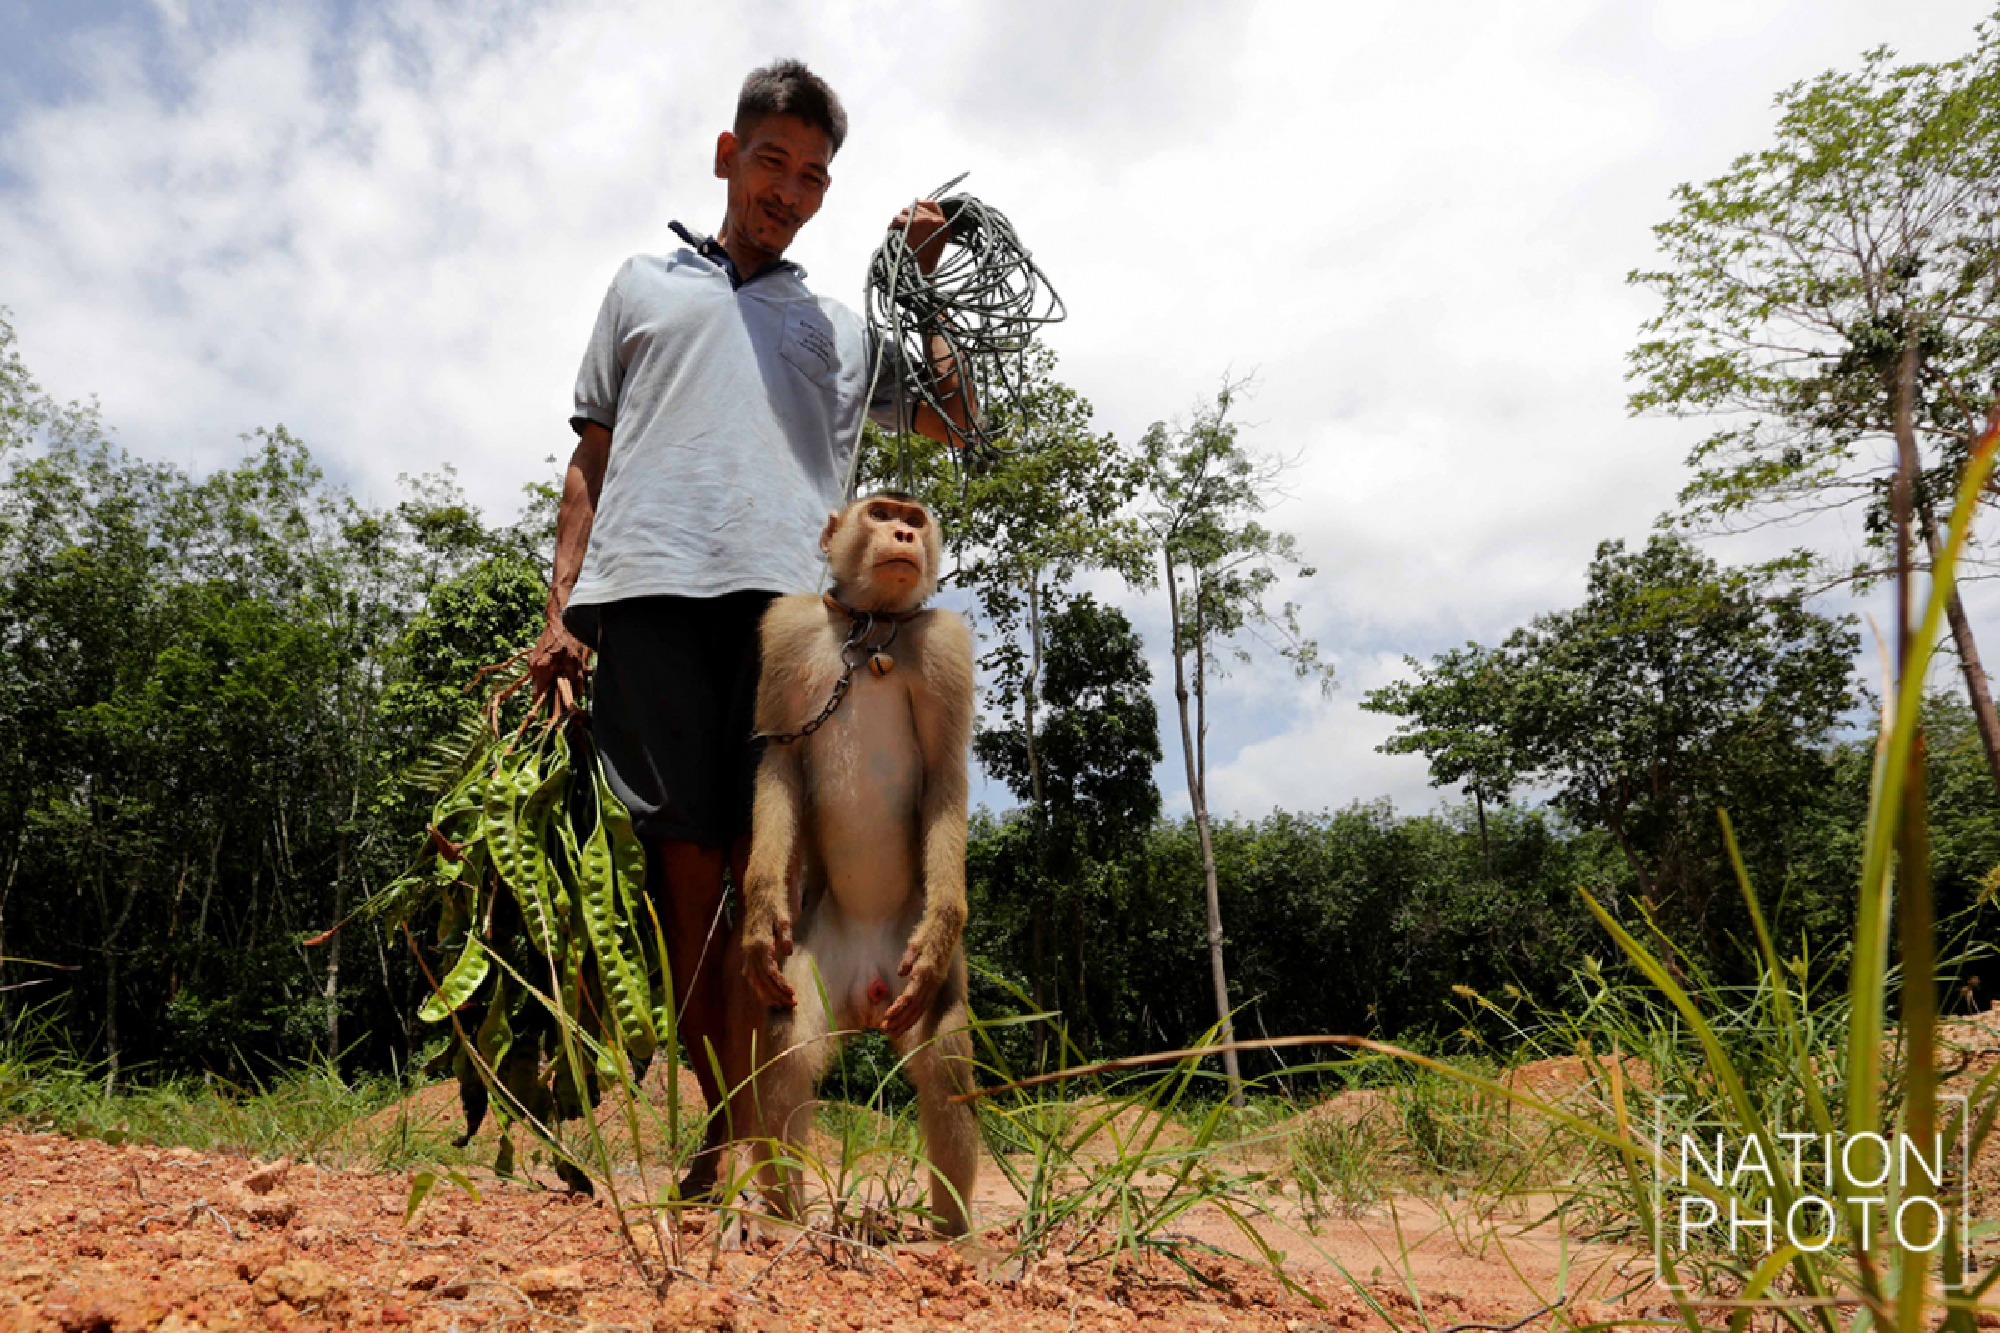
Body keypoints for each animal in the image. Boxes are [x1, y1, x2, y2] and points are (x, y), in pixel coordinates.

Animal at [732, 490, 979, 1236]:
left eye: (914, 518)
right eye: (881, 512)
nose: (901, 534)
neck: (872, 628)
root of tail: (867, 995)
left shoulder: (946, 644)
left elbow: (946, 776)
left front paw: (947, 918)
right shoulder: (787, 630)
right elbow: (779, 760)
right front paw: (760, 909)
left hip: (906, 973)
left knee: (944, 1060)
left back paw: (954, 1236)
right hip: (820, 959)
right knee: (788, 1051)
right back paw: (788, 1217)